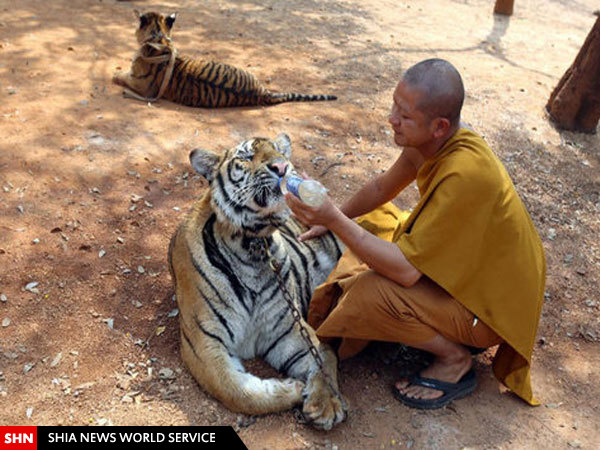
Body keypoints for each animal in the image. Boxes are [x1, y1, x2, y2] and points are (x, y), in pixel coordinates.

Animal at [169, 133, 346, 428]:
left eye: (279, 151)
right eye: (246, 156)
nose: (282, 167)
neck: (253, 245)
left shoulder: (290, 328)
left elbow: (324, 358)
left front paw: (325, 403)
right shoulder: (203, 344)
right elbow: (235, 390)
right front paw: (292, 389)